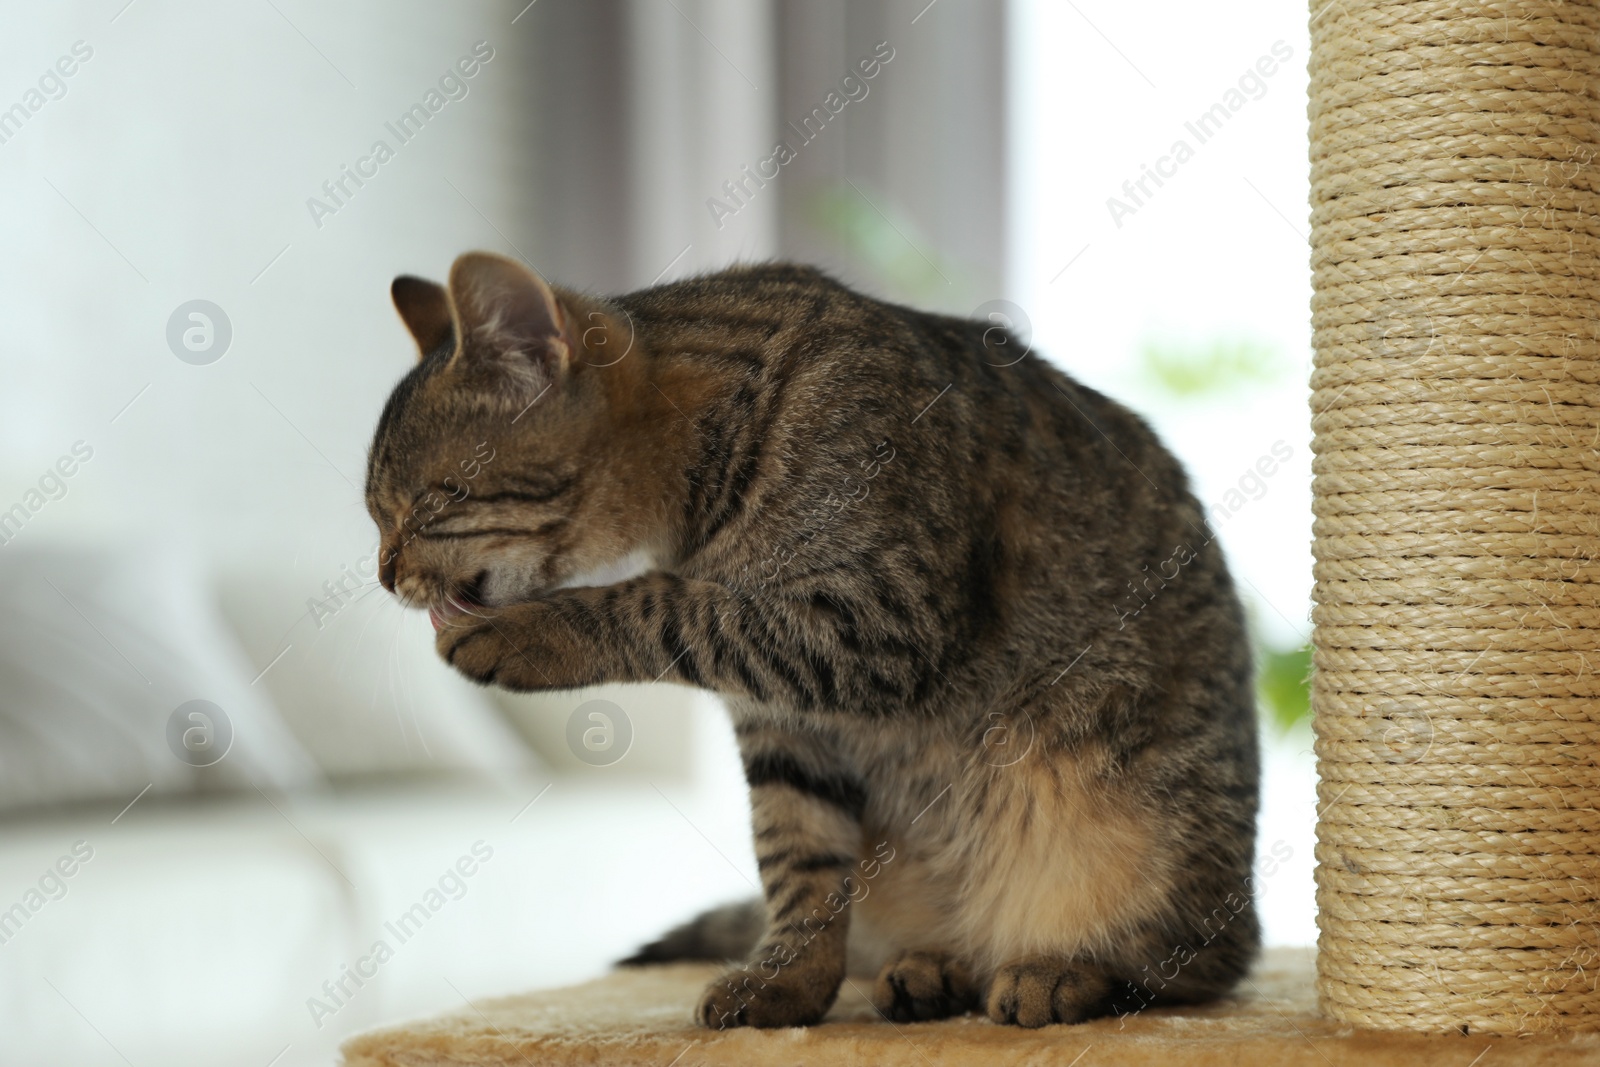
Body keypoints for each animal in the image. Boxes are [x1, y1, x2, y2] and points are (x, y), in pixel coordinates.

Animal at [368, 251, 1254, 1023]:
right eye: (377, 515)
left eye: (424, 505)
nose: (382, 575)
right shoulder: (783, 722)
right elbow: (799, 864)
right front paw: (787, 983)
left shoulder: (878, 618)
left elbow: (664, 603)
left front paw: (528, 633)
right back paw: (937, 966)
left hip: (1154, 835)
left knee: (1197, 964)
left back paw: (1064, 968)